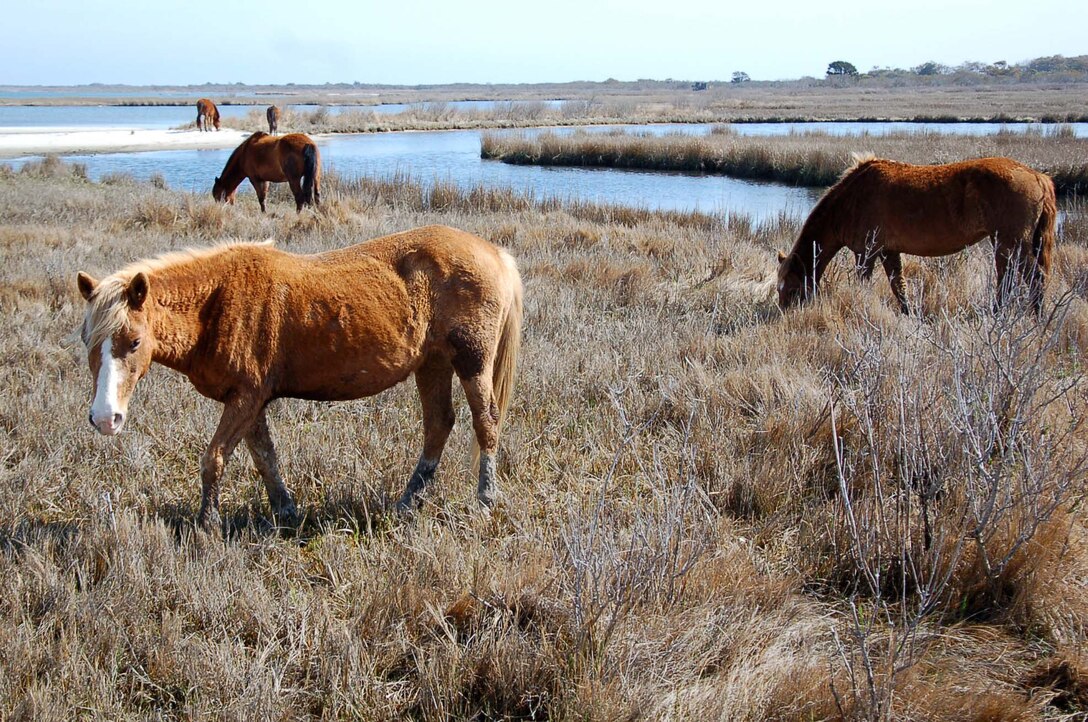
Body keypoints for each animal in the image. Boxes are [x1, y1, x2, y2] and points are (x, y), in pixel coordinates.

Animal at [75, 226, 522, 530]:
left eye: (134, 341)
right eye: (86, 339)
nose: (105, 418)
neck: (218, 301)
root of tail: (493, 252)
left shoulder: (245, 397)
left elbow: (214, 459)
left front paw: (206, 526)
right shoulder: (248, 400)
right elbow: (264, 457)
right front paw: (285, 511)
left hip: (472, 362)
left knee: (486, 423)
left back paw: (485, 500)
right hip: (432, 364)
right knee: (438, 425)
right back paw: (407, 502)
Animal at [779, 156, 1057, 315]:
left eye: (792, 289)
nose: (783, 315)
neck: (850, 199)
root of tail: (1038, 177)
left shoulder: (866, 253)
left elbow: (864, 283)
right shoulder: (888, 251)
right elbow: (898, 286)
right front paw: (908, 314)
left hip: (1012, 242)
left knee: (1034, 278)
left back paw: (1036, 318)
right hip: (1003, 244)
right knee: (1006, 279)